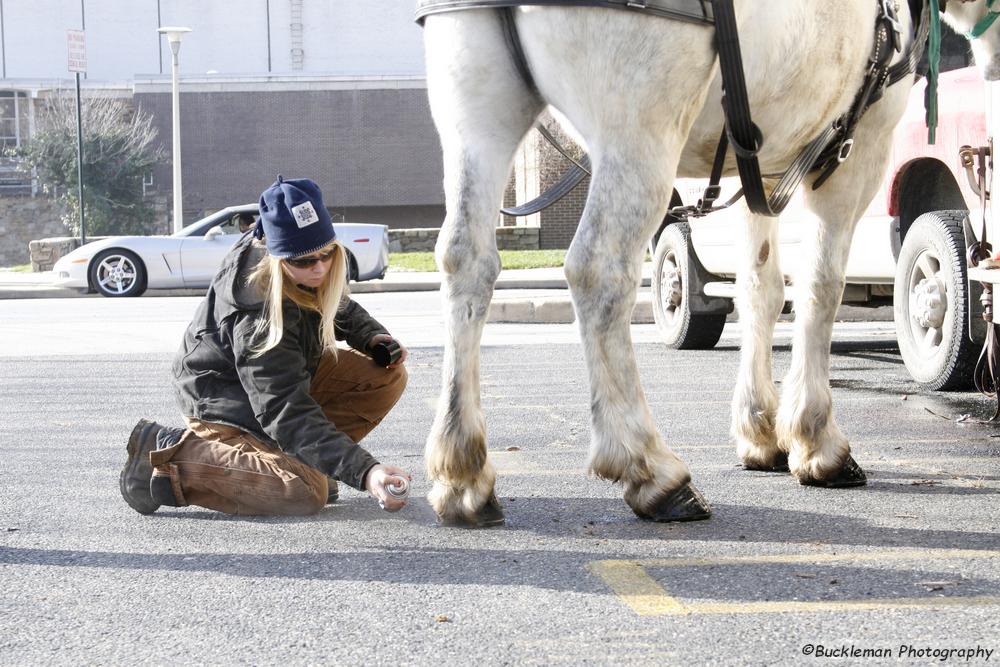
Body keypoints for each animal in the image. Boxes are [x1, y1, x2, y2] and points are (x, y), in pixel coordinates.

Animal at [416, 0, 1000, 528]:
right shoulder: (857, 150)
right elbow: (821, 286)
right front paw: (816, 439)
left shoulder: (763, 165)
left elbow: (762, 287)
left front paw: (761, 431)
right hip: (639, 129)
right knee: (598, 270)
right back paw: (649, 468)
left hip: (477, 112)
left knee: (466, 261)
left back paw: (462, 471)